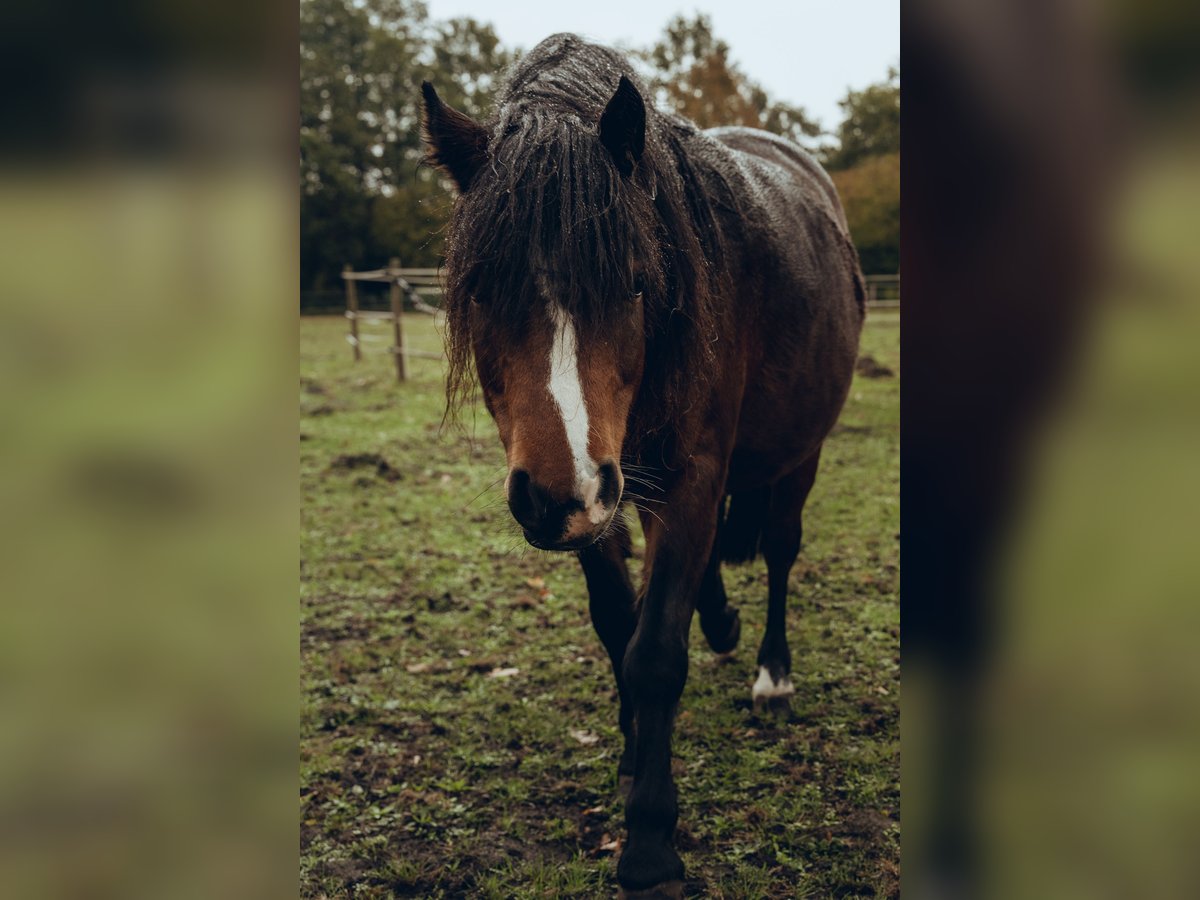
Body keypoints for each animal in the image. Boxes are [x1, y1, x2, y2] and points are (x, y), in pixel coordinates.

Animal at [421, 33, 864, 898]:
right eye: (482, 289)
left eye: (633, 283)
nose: (558, 495)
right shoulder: (592, 498)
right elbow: (616, 626)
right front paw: (631, 756)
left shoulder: (677, 478)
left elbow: (655, 650)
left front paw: (652, 842)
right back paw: (722, 620)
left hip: (798, 453)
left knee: (780, 551)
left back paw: (772, 673)